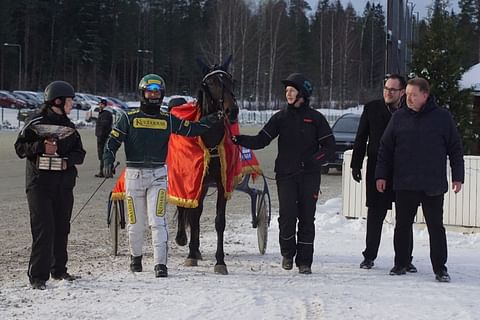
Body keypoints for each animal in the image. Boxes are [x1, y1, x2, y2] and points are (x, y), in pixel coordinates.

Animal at [172, 55, 240, 276]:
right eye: (210, 83)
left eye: (231, 80)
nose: (232, 110)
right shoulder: (195, 179)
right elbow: (192, 215)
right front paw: (191, 255)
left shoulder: (222, 181)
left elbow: (219, 221)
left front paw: (220, 261)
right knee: (185, 208)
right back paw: (184, 240)